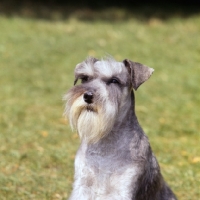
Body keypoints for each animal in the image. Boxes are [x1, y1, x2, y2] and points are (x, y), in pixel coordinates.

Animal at [63, 56, 177, 200]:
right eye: (85, 78)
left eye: (114, 80)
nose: (87, 96)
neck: (105, 145)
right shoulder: (82, 187)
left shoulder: (121, 189)